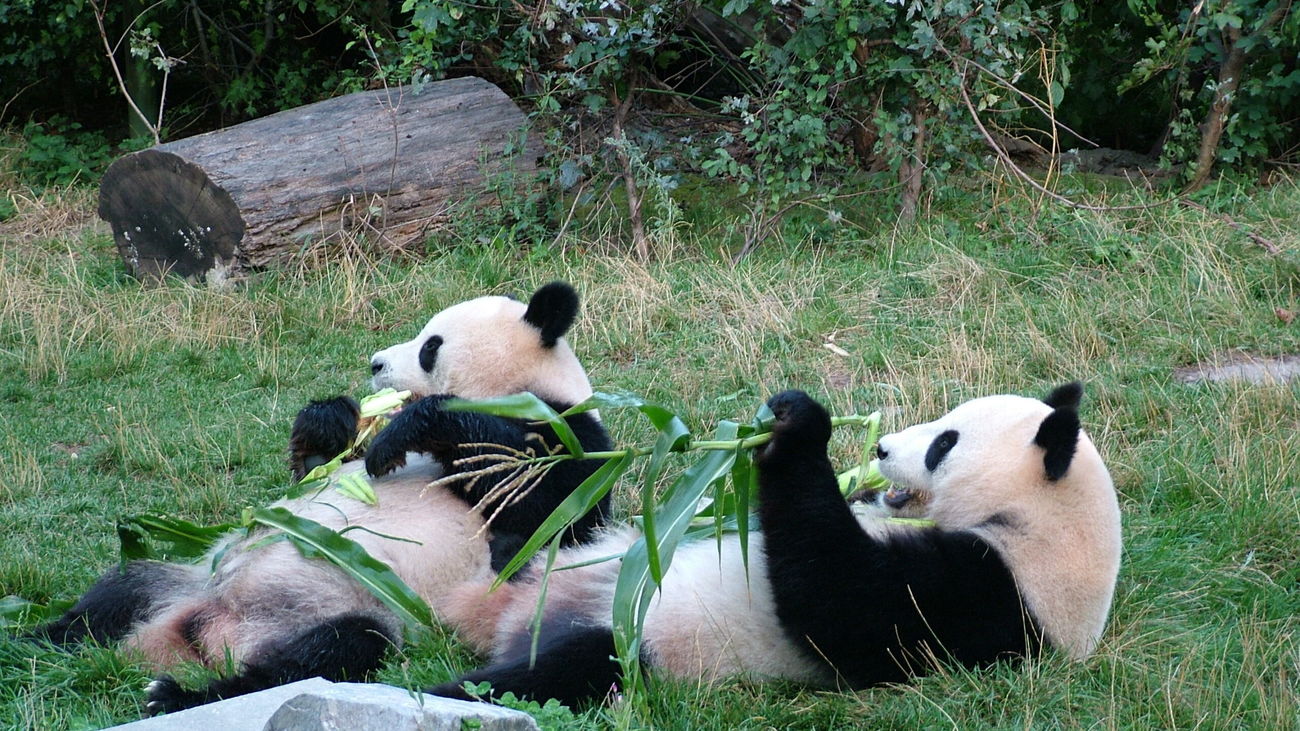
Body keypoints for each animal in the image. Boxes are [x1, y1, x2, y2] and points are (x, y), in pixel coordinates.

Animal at [29, 281, 613, 714]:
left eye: (431, 345)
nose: (376, 363)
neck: (522, 389)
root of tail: (203, 632)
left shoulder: (569, 437)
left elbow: (541, 510)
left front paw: (411, 427)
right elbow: (314, 471)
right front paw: (331, 419)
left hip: (347, 606)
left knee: (328, 654)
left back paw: (176, 696)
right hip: (189, 577)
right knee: (118, 591)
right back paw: (36, 641)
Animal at [428, 383, 1122, 707]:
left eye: (944, 443)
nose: (880, 448)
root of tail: (509, 616)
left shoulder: (993, 596)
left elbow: (840, 602)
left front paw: (797, 426)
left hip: (634, 641)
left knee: (550, 673)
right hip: (563, 560)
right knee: (552, 512)